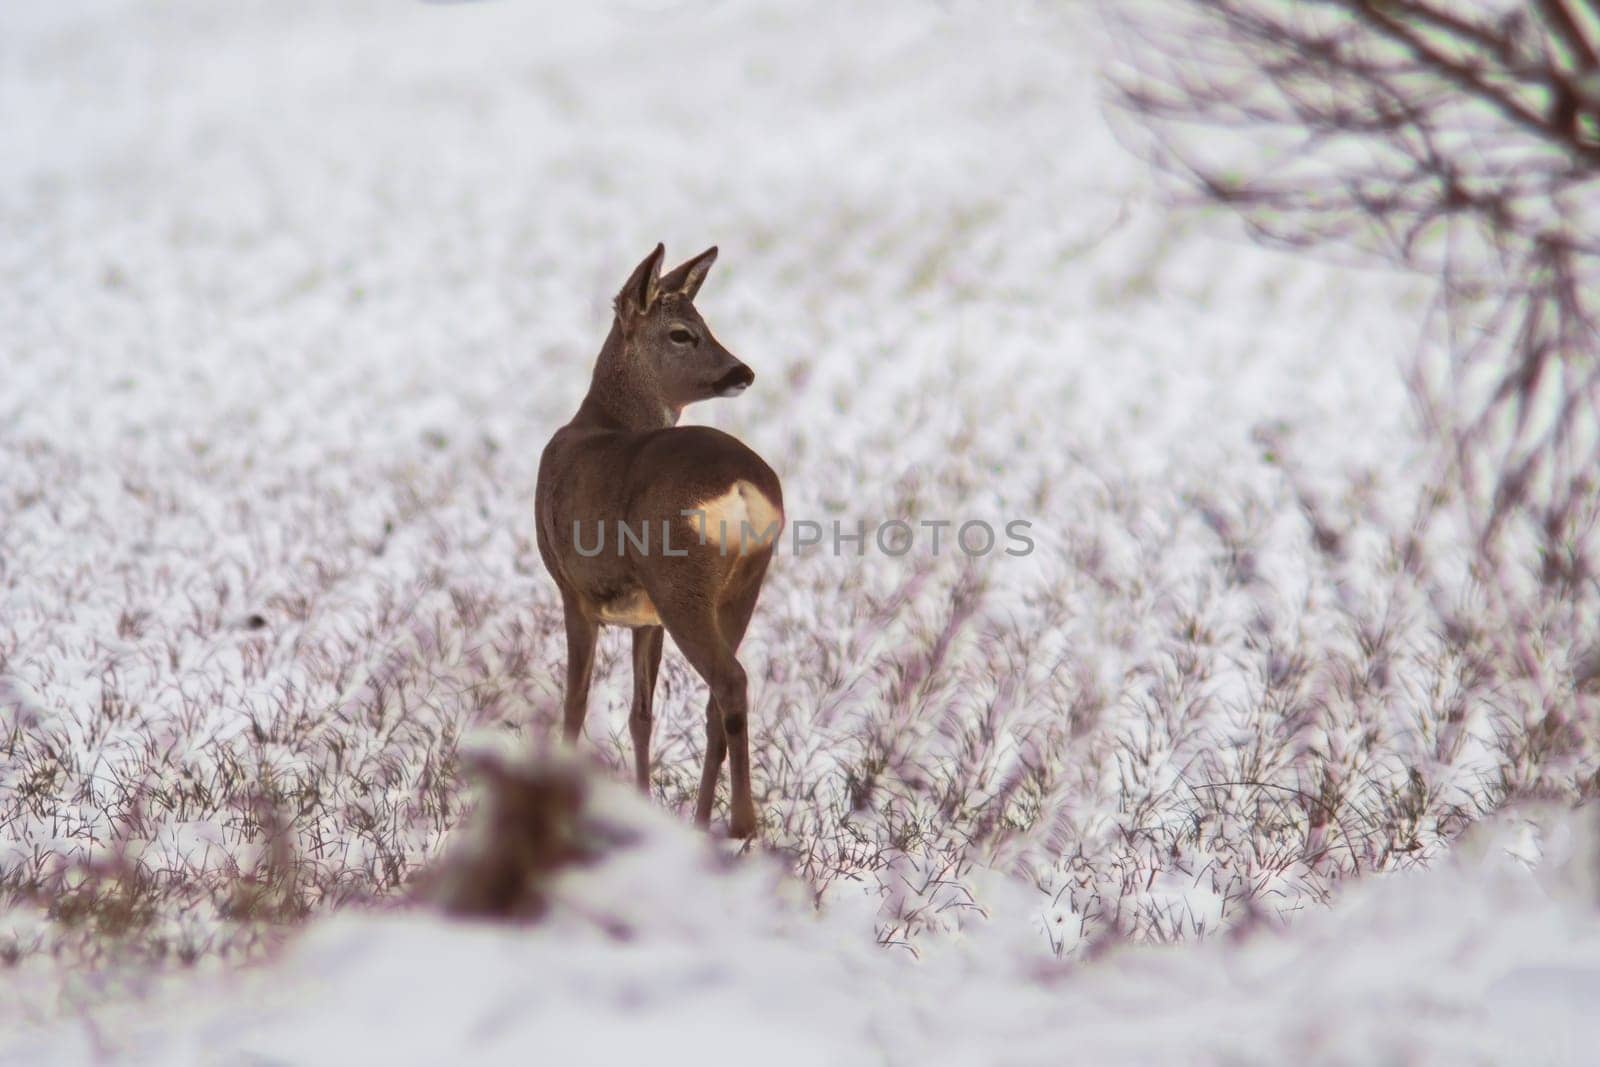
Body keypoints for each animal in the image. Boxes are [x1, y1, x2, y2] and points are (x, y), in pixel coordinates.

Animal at [534, 246, 784, 838]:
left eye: (697, 325)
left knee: (730, 679)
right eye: (683, 333)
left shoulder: (573, 591)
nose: (742, 371)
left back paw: (742, 824)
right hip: (740, 586)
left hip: (680, 582)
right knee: (719, 698)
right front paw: (642, 805)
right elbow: (640, 714)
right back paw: (702, 823)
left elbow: (575, 703)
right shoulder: (643, 617)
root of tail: (743, 486)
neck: (601, 420)